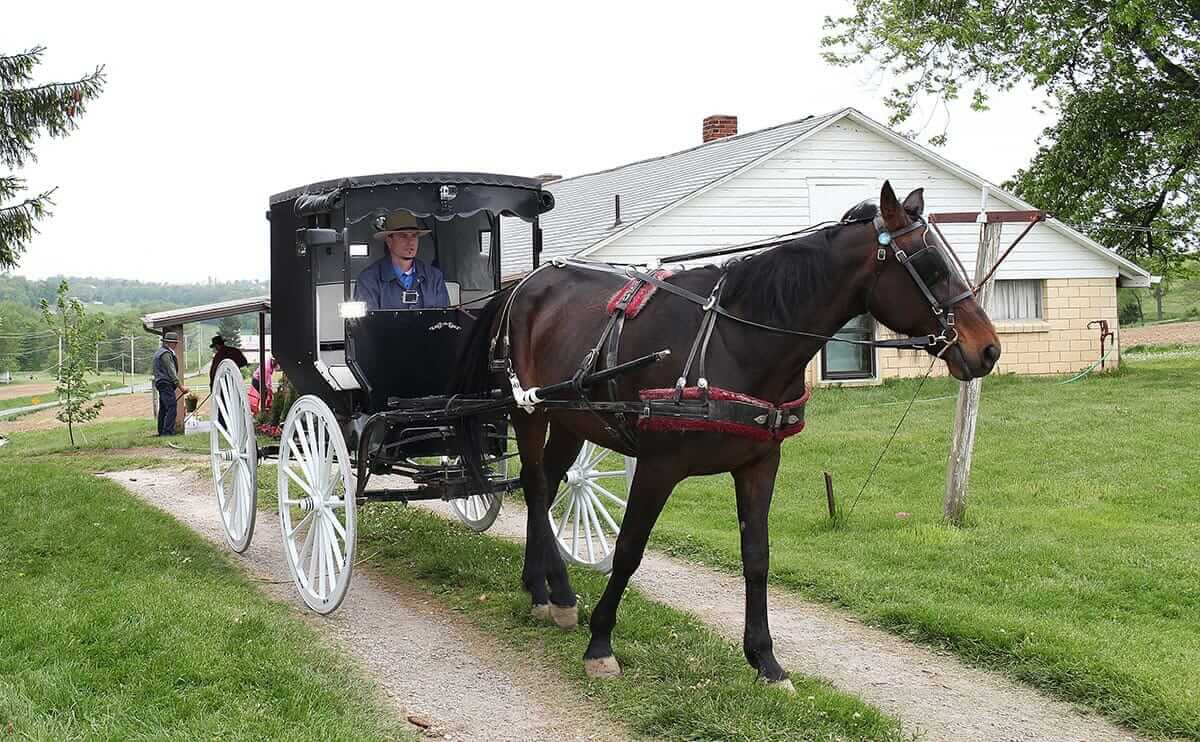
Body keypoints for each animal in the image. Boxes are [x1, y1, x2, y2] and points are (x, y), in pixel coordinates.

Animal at [451, 180, 1003, 686]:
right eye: (931, 266)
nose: (989, 349)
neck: (740, 340)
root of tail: (523, 285)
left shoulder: (759, 464)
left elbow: (756, 558)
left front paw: (766, 660)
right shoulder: (658, 465)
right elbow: (629, 548)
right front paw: (601, 642)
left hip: (571, 419)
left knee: (544, 486)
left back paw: (541, 589)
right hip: (529, 412)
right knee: (536, 485)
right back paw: (560, 592)